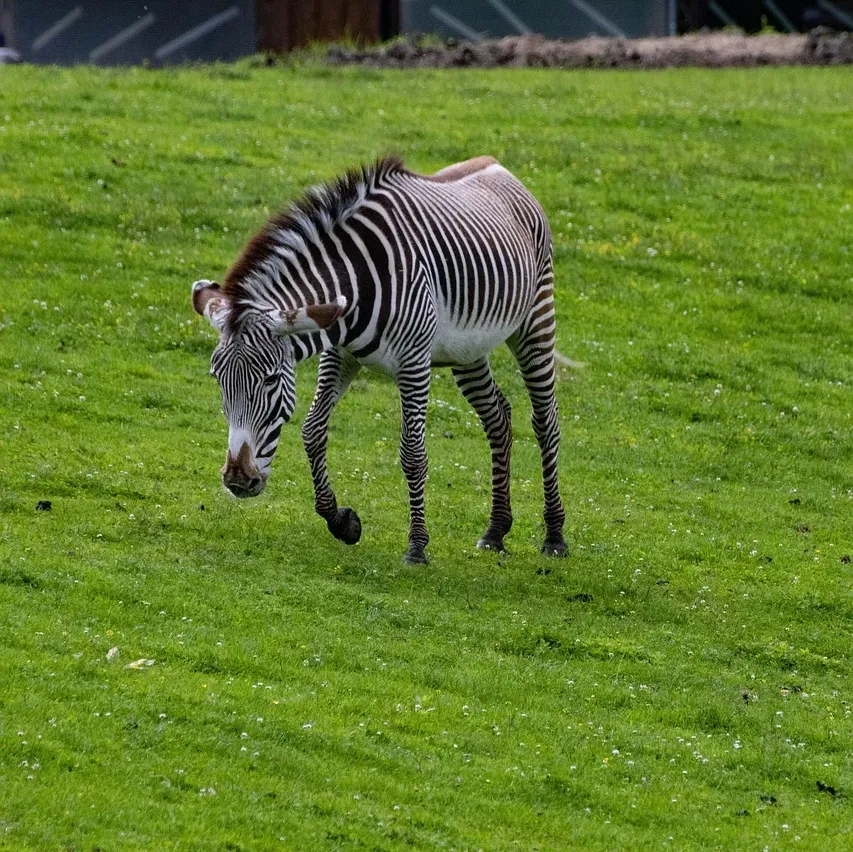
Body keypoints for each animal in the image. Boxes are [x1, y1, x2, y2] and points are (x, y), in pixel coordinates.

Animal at [192, 155, 567, 564]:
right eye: (217, 379)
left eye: (271, 379)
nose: (237, 480)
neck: (355, 285)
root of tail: (498, 165)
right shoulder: (339, 354)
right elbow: (312, 430)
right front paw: (341, 521)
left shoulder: (414, 363)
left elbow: (413, 452)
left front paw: (417, 546)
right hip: (467, 349)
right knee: (497, 417)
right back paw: (496, 530)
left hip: (536, 319)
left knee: (546, 422)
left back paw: (554, 535)